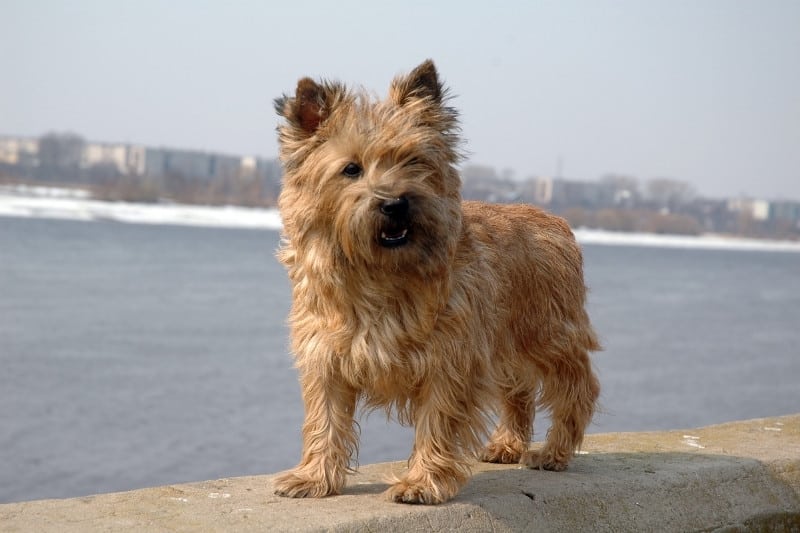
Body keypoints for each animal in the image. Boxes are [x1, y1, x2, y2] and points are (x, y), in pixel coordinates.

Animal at [272, 59, 596, 502]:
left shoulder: (451, 359)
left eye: (413, 161)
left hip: (548, 335)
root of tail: (556, 220)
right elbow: (325, 419)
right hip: (506, 344)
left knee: (576, 389)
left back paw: (554, 452)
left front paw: (421, 482)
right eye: (351, 169)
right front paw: (313, 476)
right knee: (519, 392)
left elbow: (437, 421)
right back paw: (507, 444)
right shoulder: (326, 357)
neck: (380, 273)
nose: (395, 203)